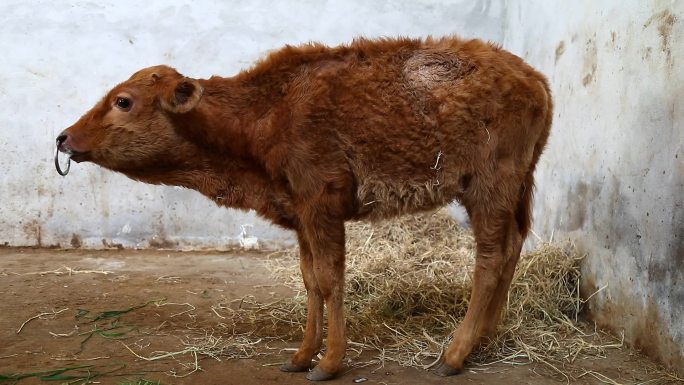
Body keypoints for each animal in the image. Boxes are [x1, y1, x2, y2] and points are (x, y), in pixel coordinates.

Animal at [56, 36, 552, 380]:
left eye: (123, 101)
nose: (63, 137)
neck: (267, 109)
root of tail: (534, 78)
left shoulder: (321, 205)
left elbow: (331, 280)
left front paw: (329, 363)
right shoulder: (299, 214)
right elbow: (311, 279)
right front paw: (300, 356)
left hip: (489, 189)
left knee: (490, 258)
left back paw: (454, 354)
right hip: (515, 189)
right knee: (512, 248)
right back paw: (484, 339)